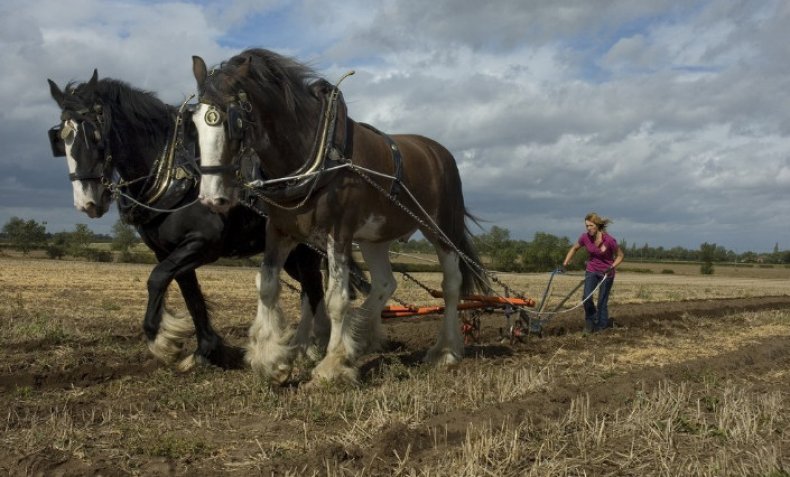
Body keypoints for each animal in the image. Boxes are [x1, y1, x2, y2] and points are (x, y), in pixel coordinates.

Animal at [46, 69, 362, 368]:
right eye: (61, 139)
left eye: (95, 136)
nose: (87, 203)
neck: (177, 172)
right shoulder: (168, 250)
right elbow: (189, 293)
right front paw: (206, 349)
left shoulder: (204, 243)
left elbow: (156, 279)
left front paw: (162, 340)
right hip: (294, 253)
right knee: (310, 288)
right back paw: (305, 346)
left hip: (306, 248)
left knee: (314, 289)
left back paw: (314, 347)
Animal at [193, 49, 488, 384]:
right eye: (194, 121)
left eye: (235, 122)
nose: (212, 196)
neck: (313, 153)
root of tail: (437, 151)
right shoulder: (280, 230)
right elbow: (267, 284)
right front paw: (271, 359)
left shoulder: (340, 231)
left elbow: (336, 298)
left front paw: (332, 364)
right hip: (376, 236)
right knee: (385, 284)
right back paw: (361, 335)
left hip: (441, 228)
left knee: (451, 284)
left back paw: (446, 351)